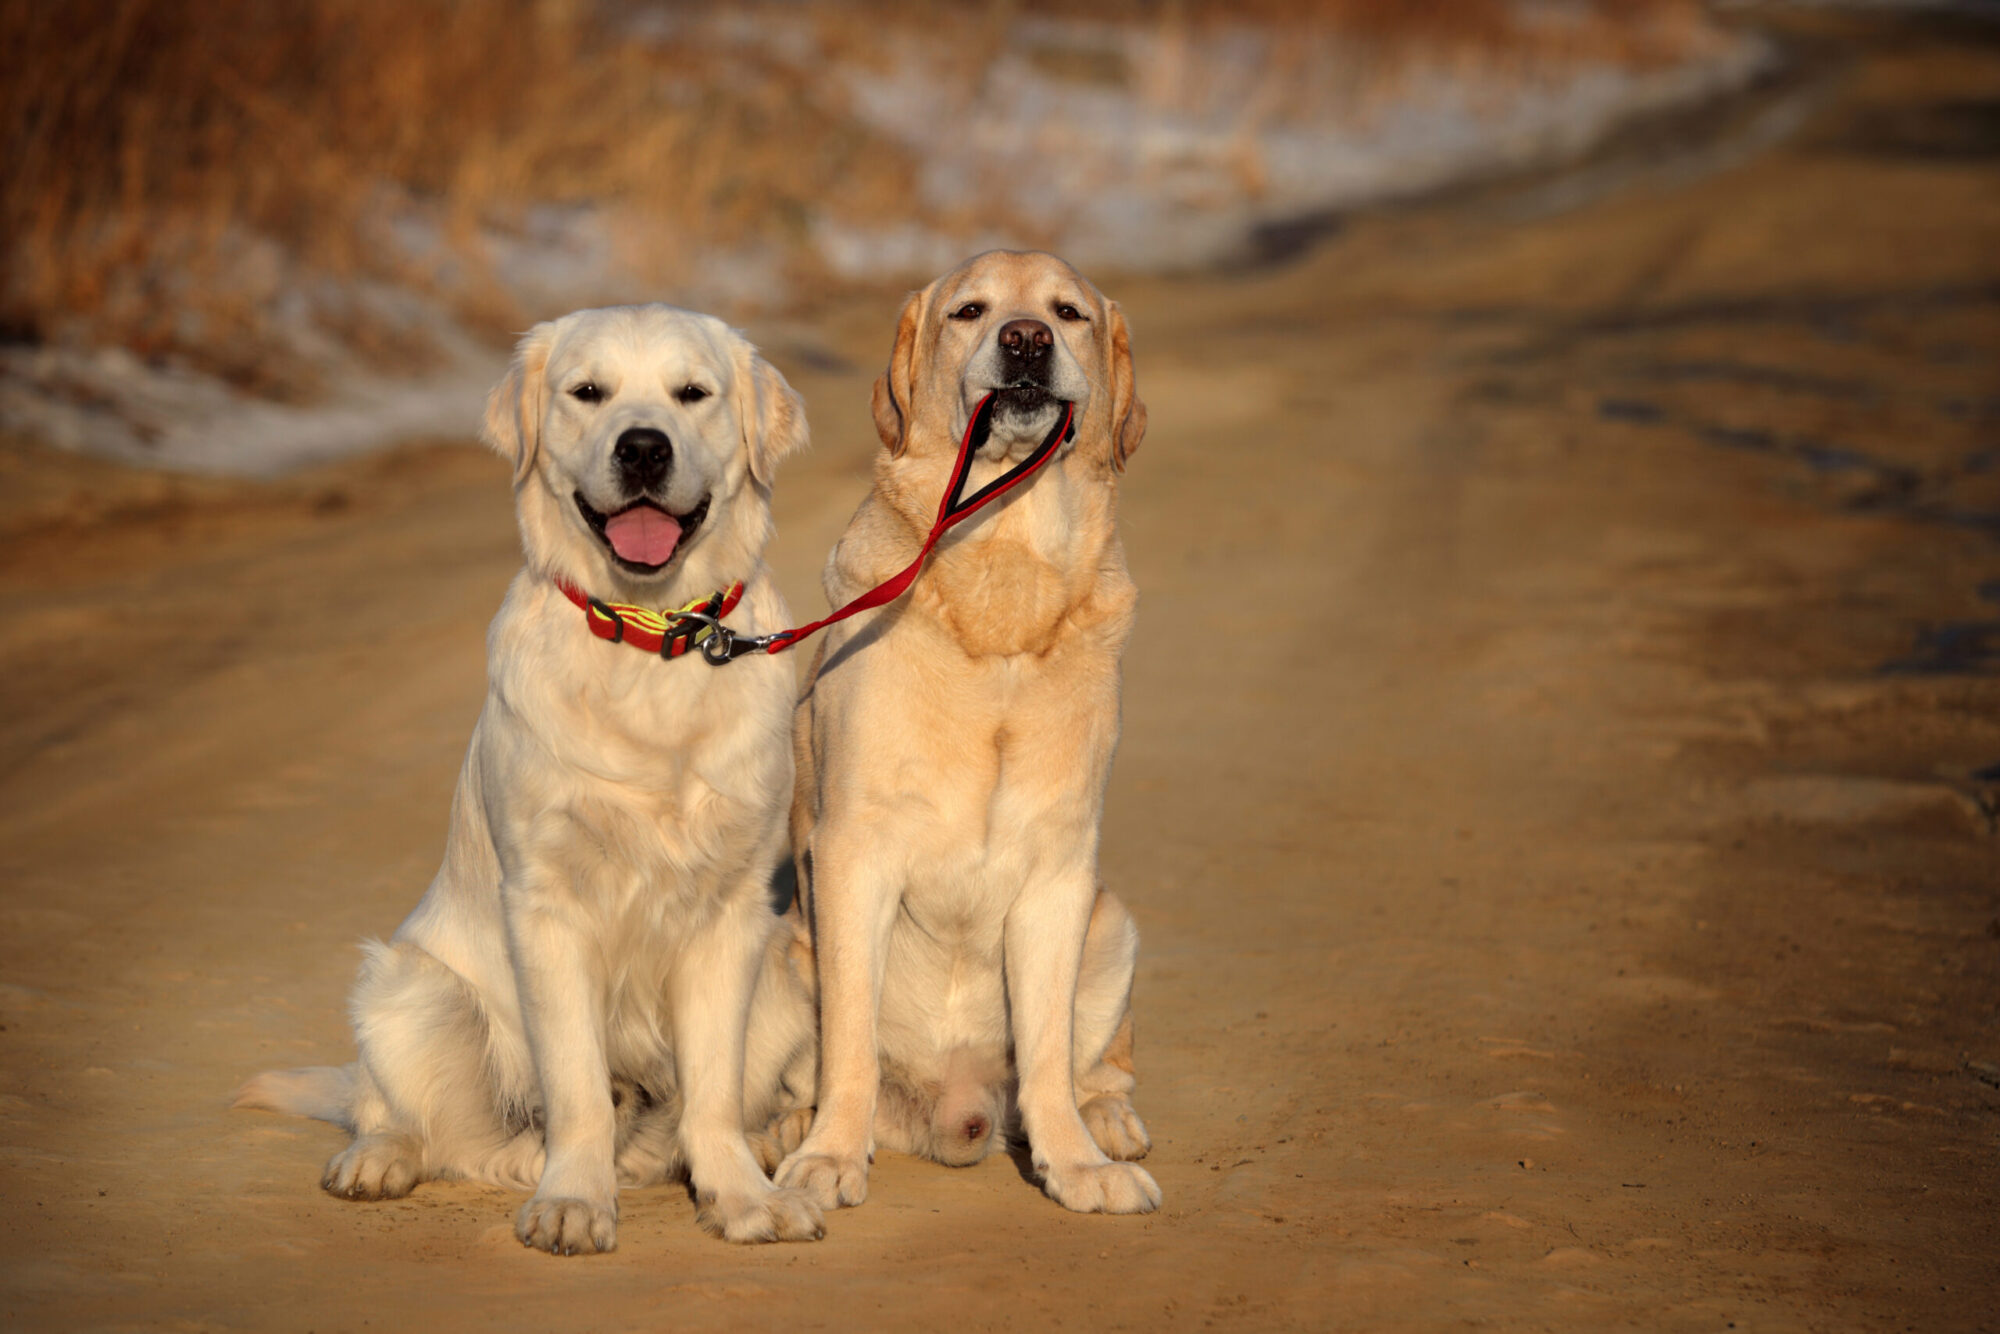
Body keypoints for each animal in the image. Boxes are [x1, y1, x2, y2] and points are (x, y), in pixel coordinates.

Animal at [232, 302, 820, 1256]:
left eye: (693, 393)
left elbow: (714, 1090)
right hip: (410, 985)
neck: (650, 640)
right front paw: (574, 1200)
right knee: (405, 1116)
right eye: (588, 392)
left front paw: (743, 1198)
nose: (643, 449)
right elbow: (577, 1084)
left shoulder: (733, 912)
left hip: (783, 987)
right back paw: (379, 1159)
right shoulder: (546, 905)